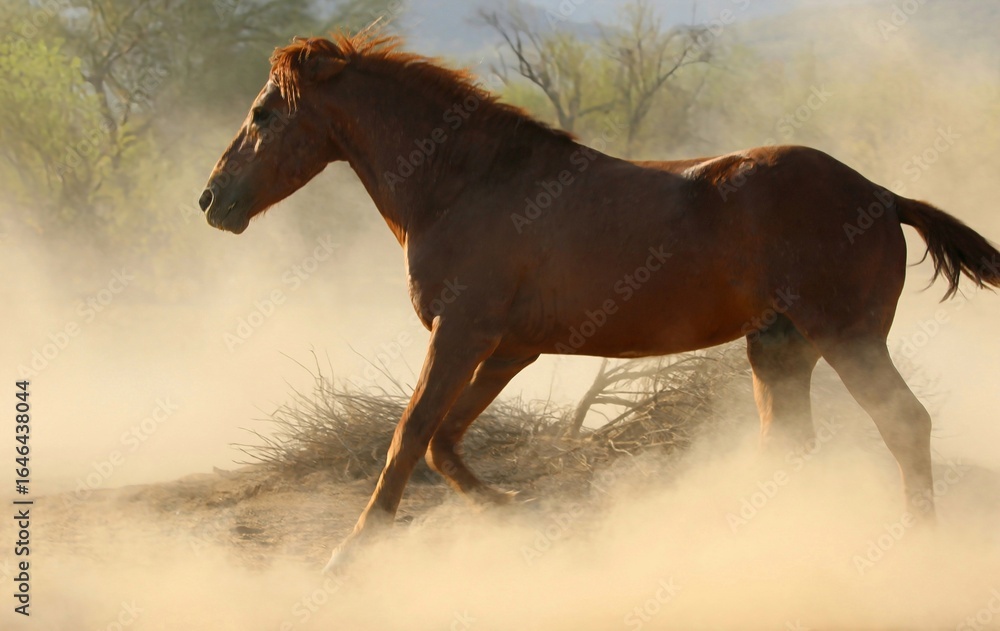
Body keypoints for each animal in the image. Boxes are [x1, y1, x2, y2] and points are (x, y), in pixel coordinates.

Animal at [198, 32, 1000, 571]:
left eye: (263, 113)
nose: (211, 200)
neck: (466, 183)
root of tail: (883, 195)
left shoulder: (461, 334)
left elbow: (409, 435)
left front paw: (348, 556)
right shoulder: (509, 347)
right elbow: (444, 441)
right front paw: (509, 512)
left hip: (847, 338)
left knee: (905, 424)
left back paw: (918, 547)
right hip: (778, 347)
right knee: (789, 446)